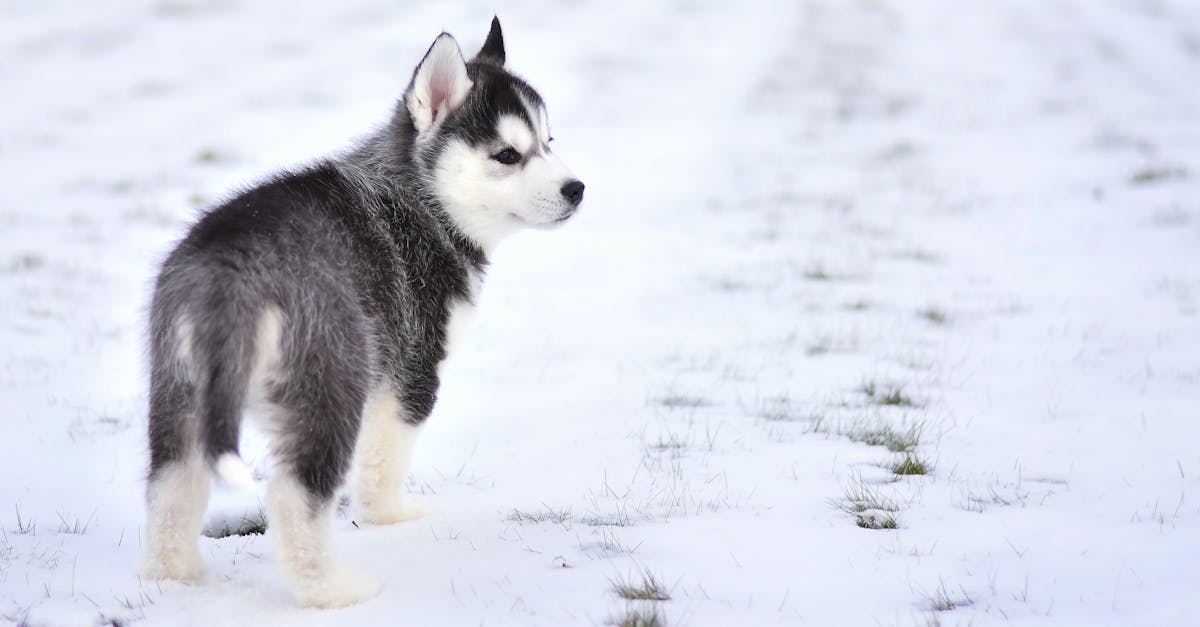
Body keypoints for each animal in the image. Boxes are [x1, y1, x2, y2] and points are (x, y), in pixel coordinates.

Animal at [138, 19, 583, 605]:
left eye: (549, 142)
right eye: (507, 155)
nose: (577, 189)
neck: (422, 201)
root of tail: (231, 273)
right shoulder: (413, 367)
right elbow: (383, 460)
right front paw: (390, 517)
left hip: (179, 390)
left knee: (171, 488)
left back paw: (173, 579)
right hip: (329, 383)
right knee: (295, 497)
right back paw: (332, 590)